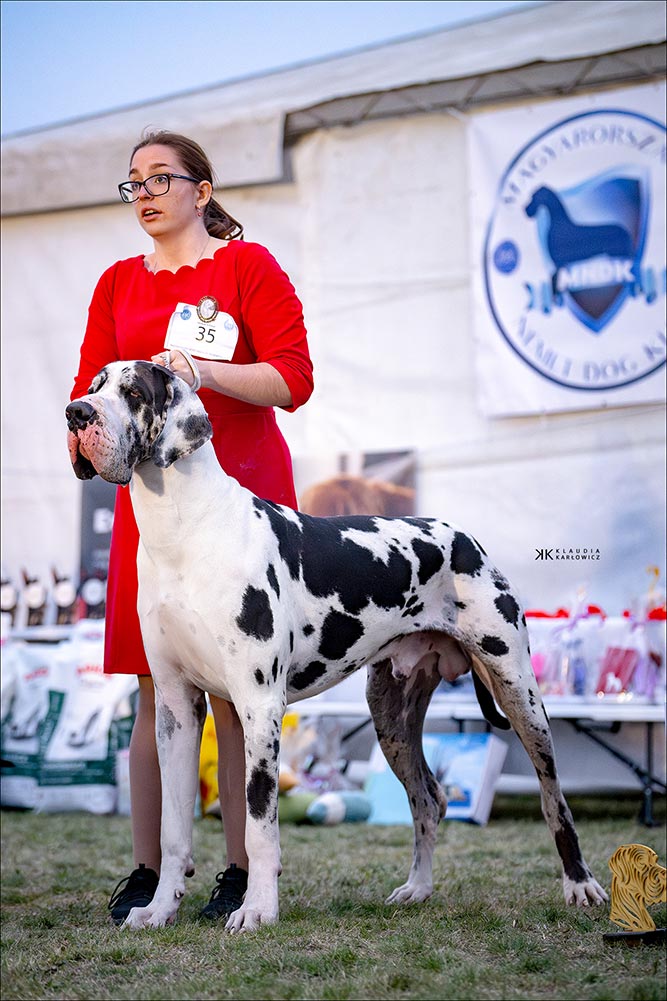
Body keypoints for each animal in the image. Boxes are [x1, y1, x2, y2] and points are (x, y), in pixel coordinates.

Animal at [65, 361, 607, 932]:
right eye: (95, 386)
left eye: (132, 392)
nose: (76, 413)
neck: (184, 531)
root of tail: (463, 536)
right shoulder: (174, 707)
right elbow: (172, 828)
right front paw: (158, 908)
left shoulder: (259, 705)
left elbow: (259, 824)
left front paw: (257, 909)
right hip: (391, 714)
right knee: (428, 799)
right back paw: (418, 888)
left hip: (519, 692)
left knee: (553, 798)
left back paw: (580, 884)